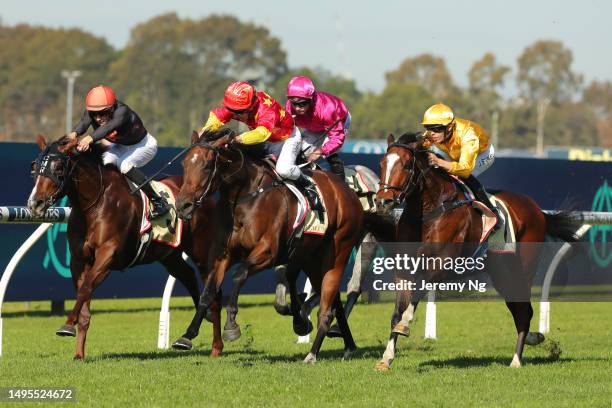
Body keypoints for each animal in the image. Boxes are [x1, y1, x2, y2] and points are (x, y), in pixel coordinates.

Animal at [26, 135, 222, 358]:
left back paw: (215, 345)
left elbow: (85, 289)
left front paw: (67, 325)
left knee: (214, 292)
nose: (35, 203)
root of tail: (203, 196)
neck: (95, 203)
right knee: (188, 276)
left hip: (202, 252)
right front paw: (79, 354)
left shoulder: (108, 255)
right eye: (35, 166)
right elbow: (83, 298)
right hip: (169, 255)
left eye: (58, 168)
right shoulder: (79, 259)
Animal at [171, 128, 364, 364]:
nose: (183, 205)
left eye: (207, 166)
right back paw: (346, 343)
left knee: (326, 308)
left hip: (338, 252)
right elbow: (208, 292)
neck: (246, 198)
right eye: (184, 165)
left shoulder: (267, 253)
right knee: (332, 299)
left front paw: (231, 326)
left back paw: (312, 353)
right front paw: (187, 334)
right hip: (311, 258)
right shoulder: (223, 255)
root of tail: (348, 191)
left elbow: (239, 274)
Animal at [372, 133, 580, 370]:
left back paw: (516, 359)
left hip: (522, 270)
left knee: (524, 311)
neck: (429, 211)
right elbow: (396, 312)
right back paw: (533, 338)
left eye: (407, 165)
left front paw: (405, 325)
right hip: (501, 273)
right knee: (519, 309)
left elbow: (415, 297)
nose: (383, 201)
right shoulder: (404, 268)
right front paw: (386, 358)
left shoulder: (440, 265)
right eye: (381, 164)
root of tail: (538, 210)